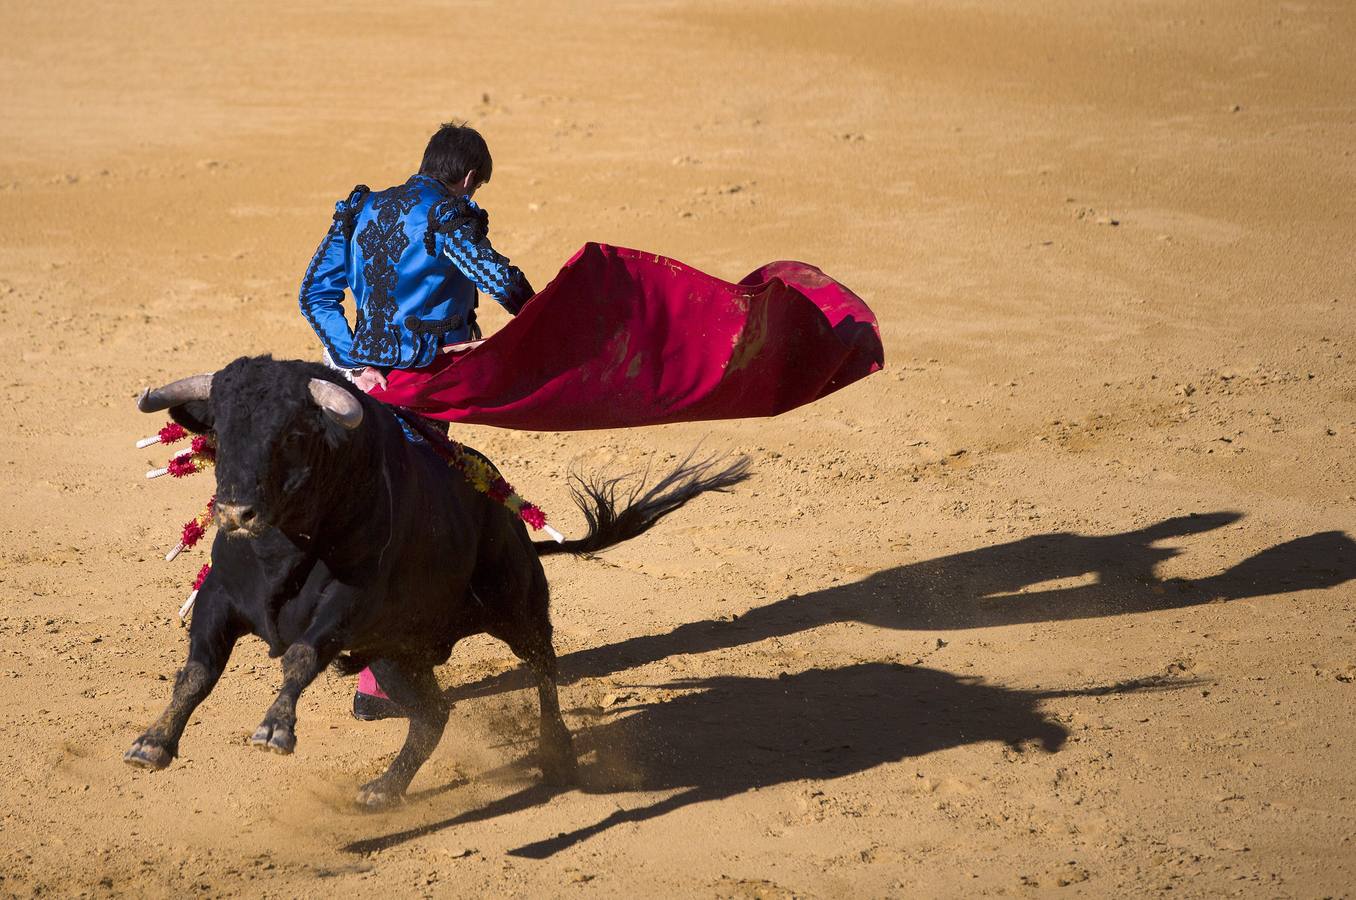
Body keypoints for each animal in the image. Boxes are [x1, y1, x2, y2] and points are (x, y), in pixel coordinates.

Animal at [122, 355, 748, 802]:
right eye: (223, 434)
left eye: (293, 435)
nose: (235, 513)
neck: (282, 544)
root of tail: (503, 503)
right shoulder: (220, 599)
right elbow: (195, 673)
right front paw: (152, 742)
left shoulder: (348, 604)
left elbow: (299, 655)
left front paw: (275, 730)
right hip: (395, 656)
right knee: (432, 715)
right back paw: (384, 788)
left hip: (516, 604)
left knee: (542, 665)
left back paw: (558, 757)